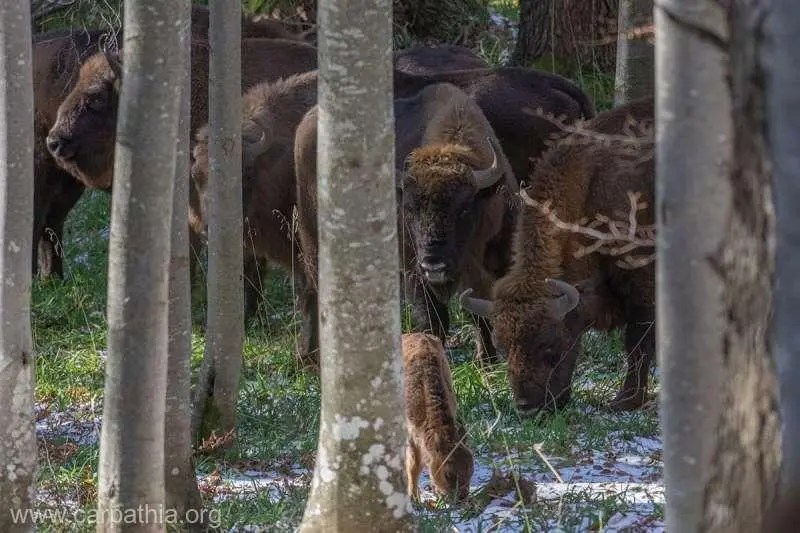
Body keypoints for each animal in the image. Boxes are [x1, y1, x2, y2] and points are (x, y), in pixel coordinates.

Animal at [296, 84, 516, 370]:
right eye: (409, 209)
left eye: (464, 209)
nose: (434, 264)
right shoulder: (414, 271)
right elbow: (435, 322)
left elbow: (482, 314)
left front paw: (487, 362)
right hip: (313, 242)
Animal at [404, 330, 472, 500]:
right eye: (448, 475)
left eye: (471, 470)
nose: (461, 496)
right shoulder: (411, 433)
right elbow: (414, 464)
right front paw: (414, 497)